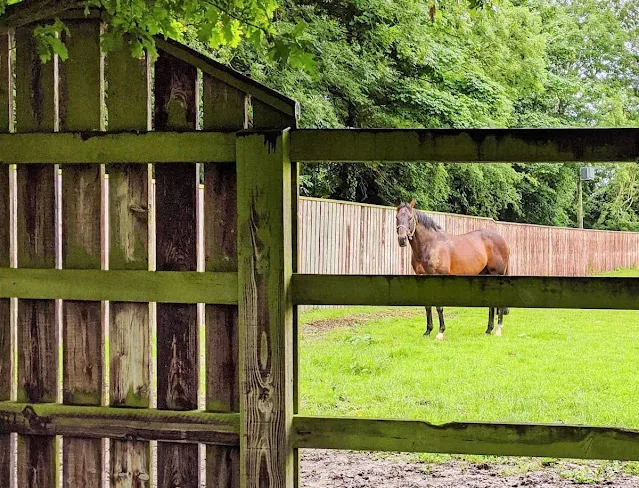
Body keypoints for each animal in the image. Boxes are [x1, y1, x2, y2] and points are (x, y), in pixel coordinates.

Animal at [396, 200, 510, 342]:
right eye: (397, 217)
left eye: (410, 218)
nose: (402, 239)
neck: (430, 245)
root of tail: (503, 241)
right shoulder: (422, 278)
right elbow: (427, 306)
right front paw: (428, 331)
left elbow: (439, 306)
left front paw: (440, 332)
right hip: (487, 275)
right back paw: (489, 330)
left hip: (497, 274)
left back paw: (498, 330)